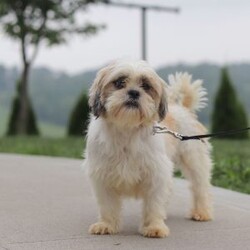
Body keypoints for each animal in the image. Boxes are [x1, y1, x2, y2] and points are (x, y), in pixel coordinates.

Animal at [84, 59, 213, 237]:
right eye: (119, 82)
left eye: (146, 86)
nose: (133, 93)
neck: (127, 129)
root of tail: (182, 108)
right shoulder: (102, 174)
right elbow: (107, 205)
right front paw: (106, 224)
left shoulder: (156, 173)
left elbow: (154, 203)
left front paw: (154, 226)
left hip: (194, 161)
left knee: (199, 186)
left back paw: (201, 212)